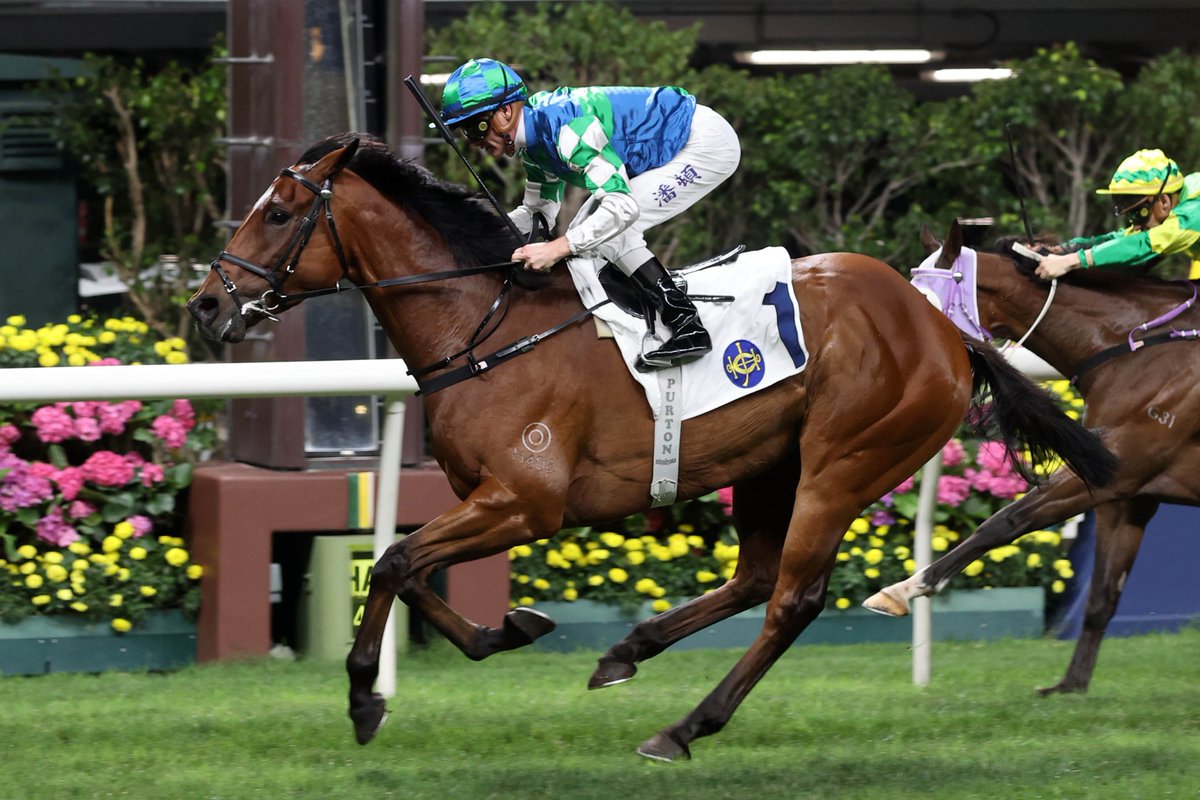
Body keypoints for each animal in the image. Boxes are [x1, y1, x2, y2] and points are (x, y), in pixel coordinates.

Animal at [187, 134, 1113, 762]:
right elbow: (404, 567)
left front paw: (363, 700)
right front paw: (506, 631)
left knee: (793, 599)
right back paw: (627, 652)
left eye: (277, 212)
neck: (485, 327)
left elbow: (391, 564)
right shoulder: (487, 501)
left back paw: (686, 725)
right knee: (757, 577)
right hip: (770, 464)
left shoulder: (526, 503)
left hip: (844, 462)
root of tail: (942, 329)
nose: (205, 305)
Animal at [873, 219, 1200, 695]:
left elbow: (1001, 523)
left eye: (923, 304)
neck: (1135, 346)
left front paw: (903, 589)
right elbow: (1102, 594)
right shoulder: (1128, 495)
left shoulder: (1115, 470)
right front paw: (1070, 686)